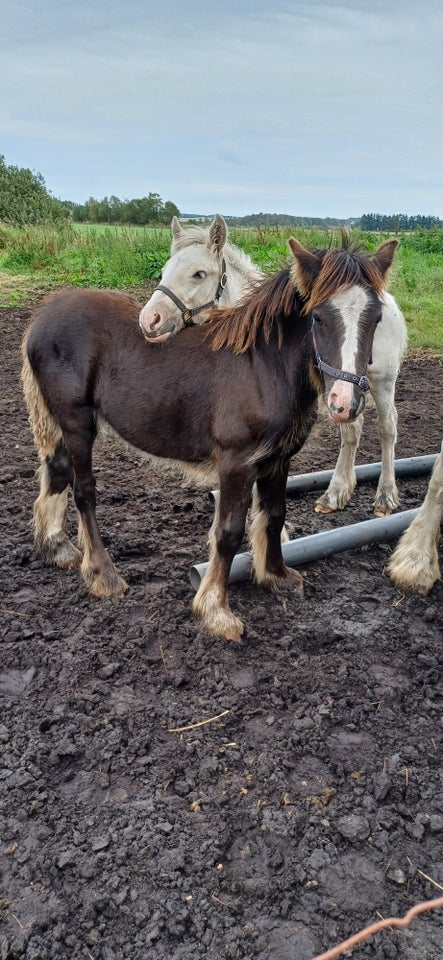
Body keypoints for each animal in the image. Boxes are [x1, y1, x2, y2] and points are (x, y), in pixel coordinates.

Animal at [140, 216, 408, 516]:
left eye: (199, 274)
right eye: (164, 270)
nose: (150, 320)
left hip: (378, 383)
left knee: (387, 427)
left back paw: (385, 494)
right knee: (352, 429)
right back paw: (336, 492)